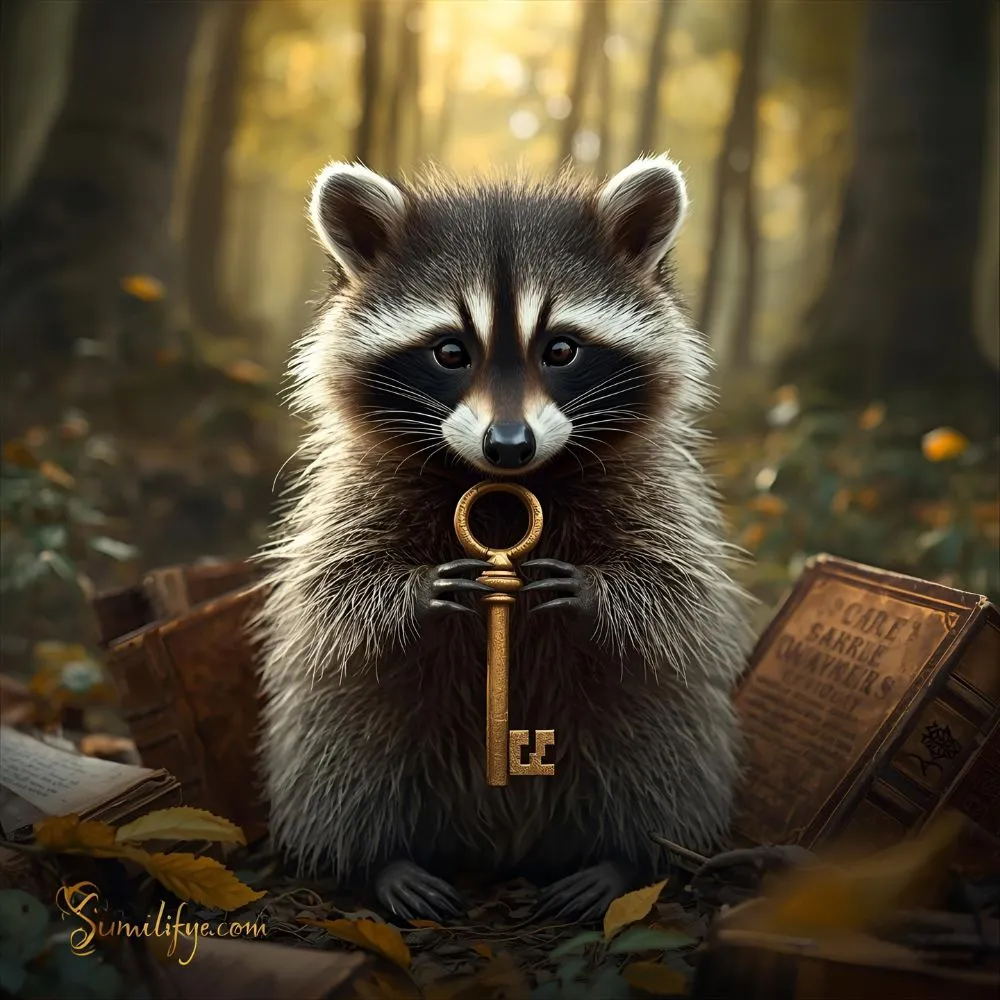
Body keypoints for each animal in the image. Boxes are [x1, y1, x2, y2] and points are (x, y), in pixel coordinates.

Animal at [256, 155, 755, 922]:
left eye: (561, 350)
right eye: (450, 352)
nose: (509, 446)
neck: (501, 485)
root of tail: (502, 845)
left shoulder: (658, 491)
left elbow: (675, 591)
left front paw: (593, 590)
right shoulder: (353, 492)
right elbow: (335, 588)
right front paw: (414, 591)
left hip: (653, 720)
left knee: (659, 746)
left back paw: (623, 858)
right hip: (357, 721)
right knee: (343, 746)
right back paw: (378, 860)